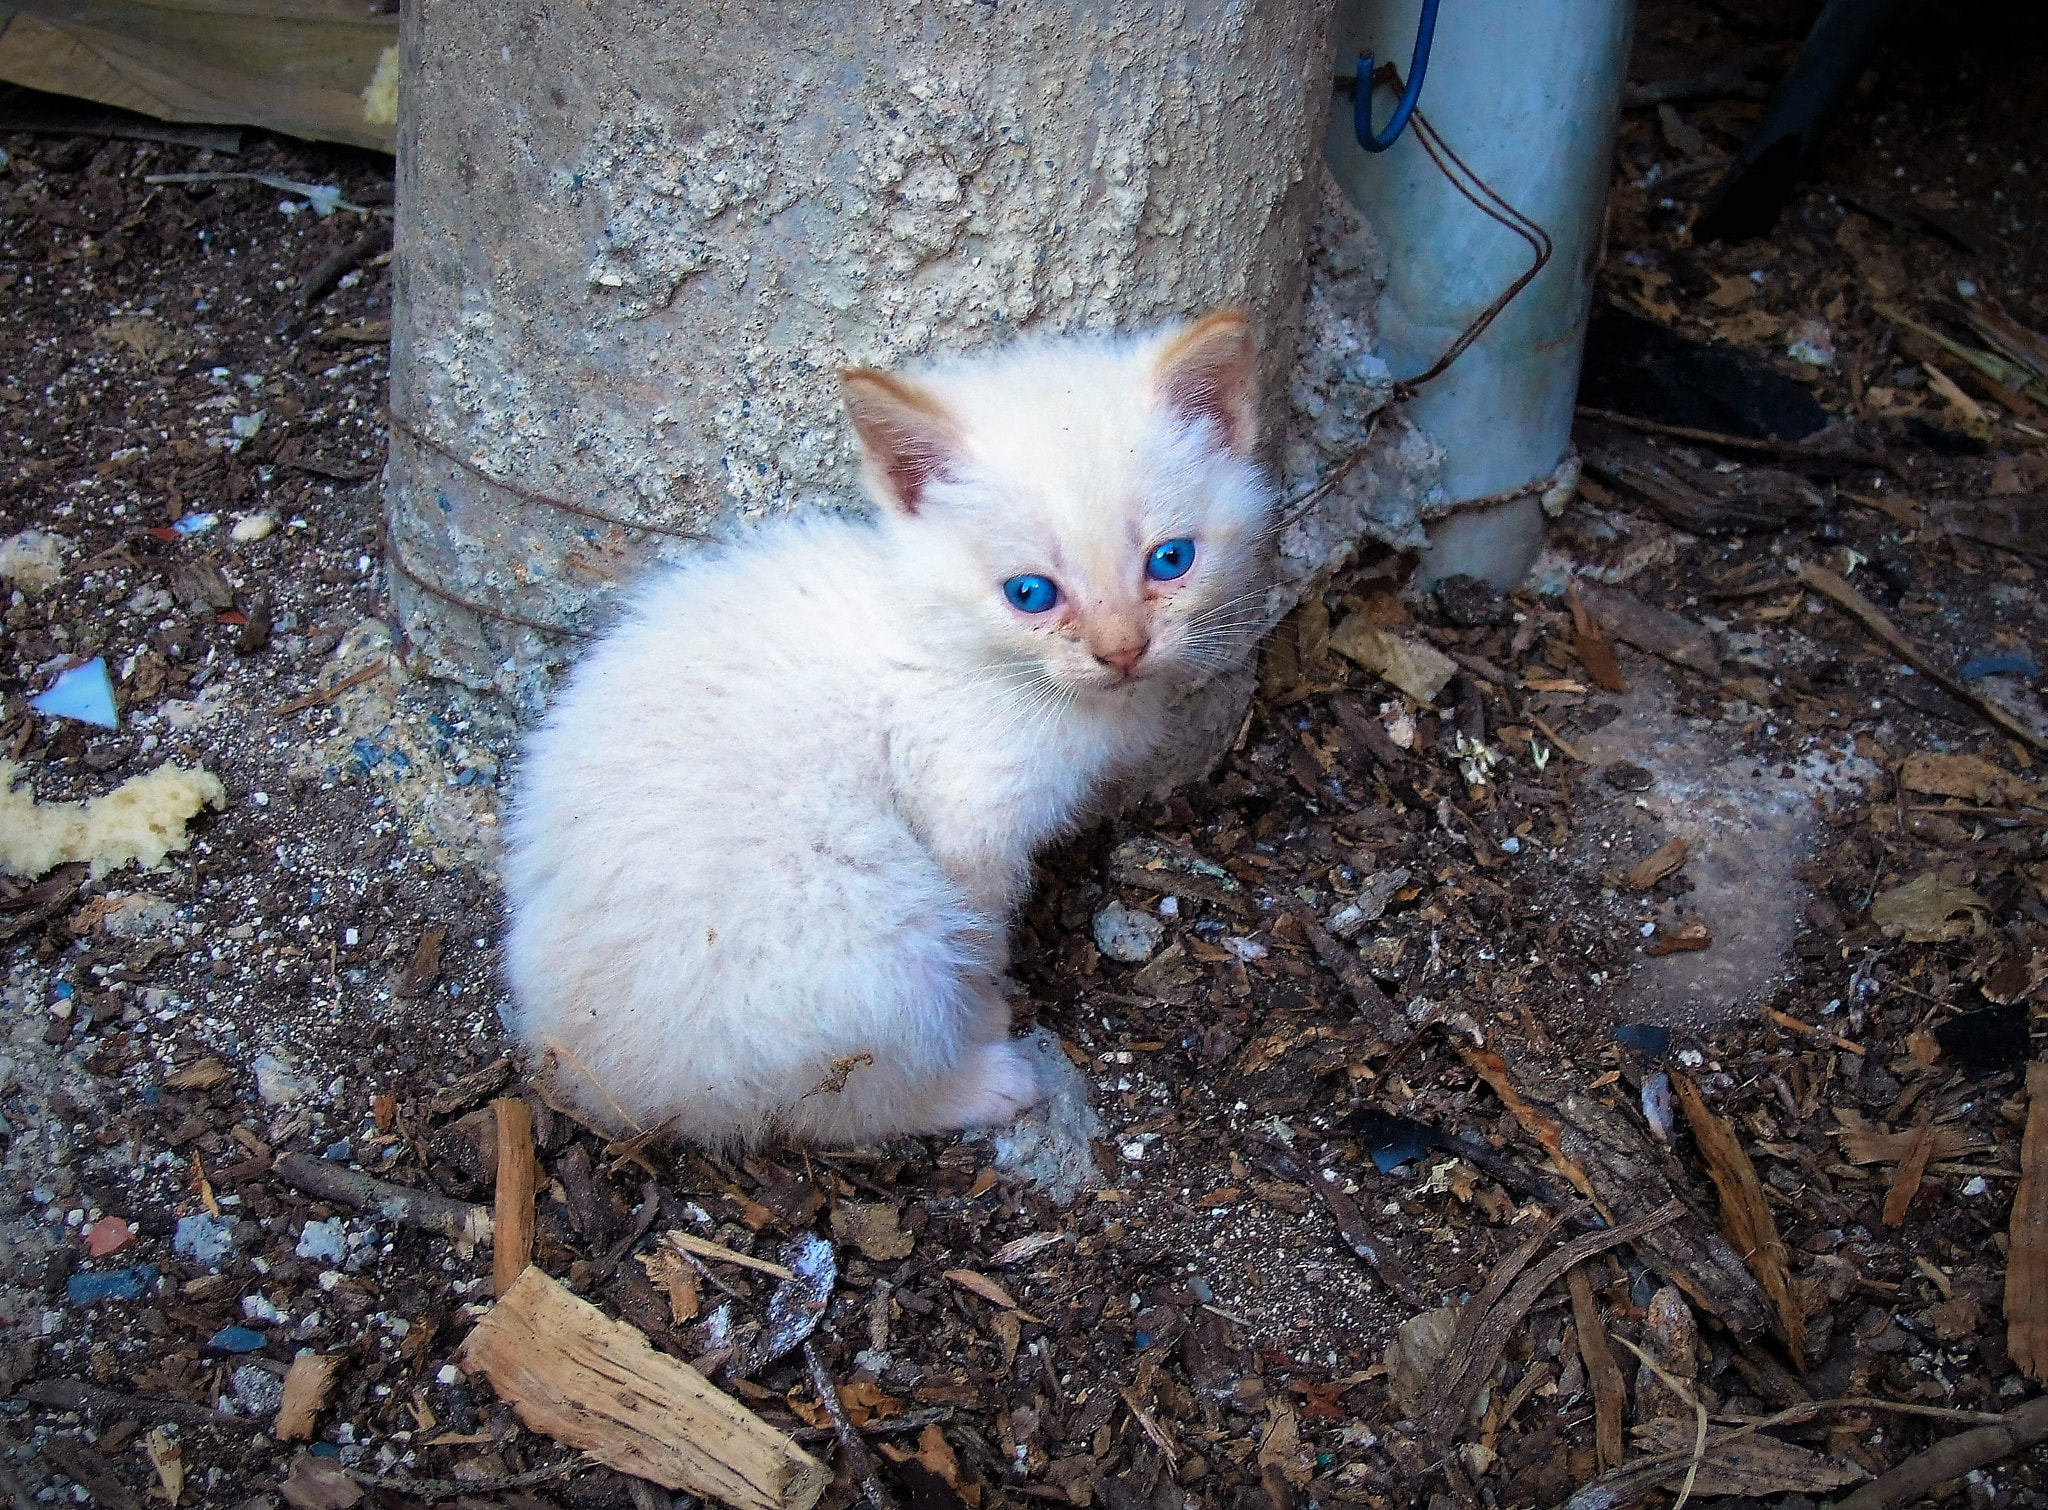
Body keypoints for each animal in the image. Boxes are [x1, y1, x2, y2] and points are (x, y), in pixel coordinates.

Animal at [503, 311, 1269, 1147]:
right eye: (1030, 594)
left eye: (1172, 559)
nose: (1123, 650)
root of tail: (590, 1071)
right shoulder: (969, 820)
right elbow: (980, 929)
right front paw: (984, 1002)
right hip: (864, 920)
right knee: (832, 1101)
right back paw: (981, 1081)